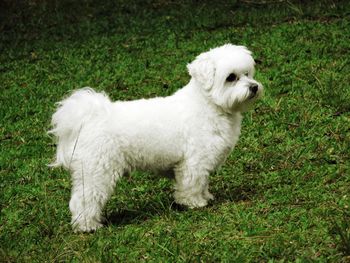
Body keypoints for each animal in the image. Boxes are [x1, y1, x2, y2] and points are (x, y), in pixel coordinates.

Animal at [50, 44, 262, 232]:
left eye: (248, 73)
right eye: (231, 77)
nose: (254, 87)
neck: (208, 105)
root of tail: (89, 118)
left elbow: (202, 183)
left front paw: (206, 196)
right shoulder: (194, 162)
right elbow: (192, 184)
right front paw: (194, 203)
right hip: (97, 171)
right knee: (84, 200)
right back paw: (88, 225)